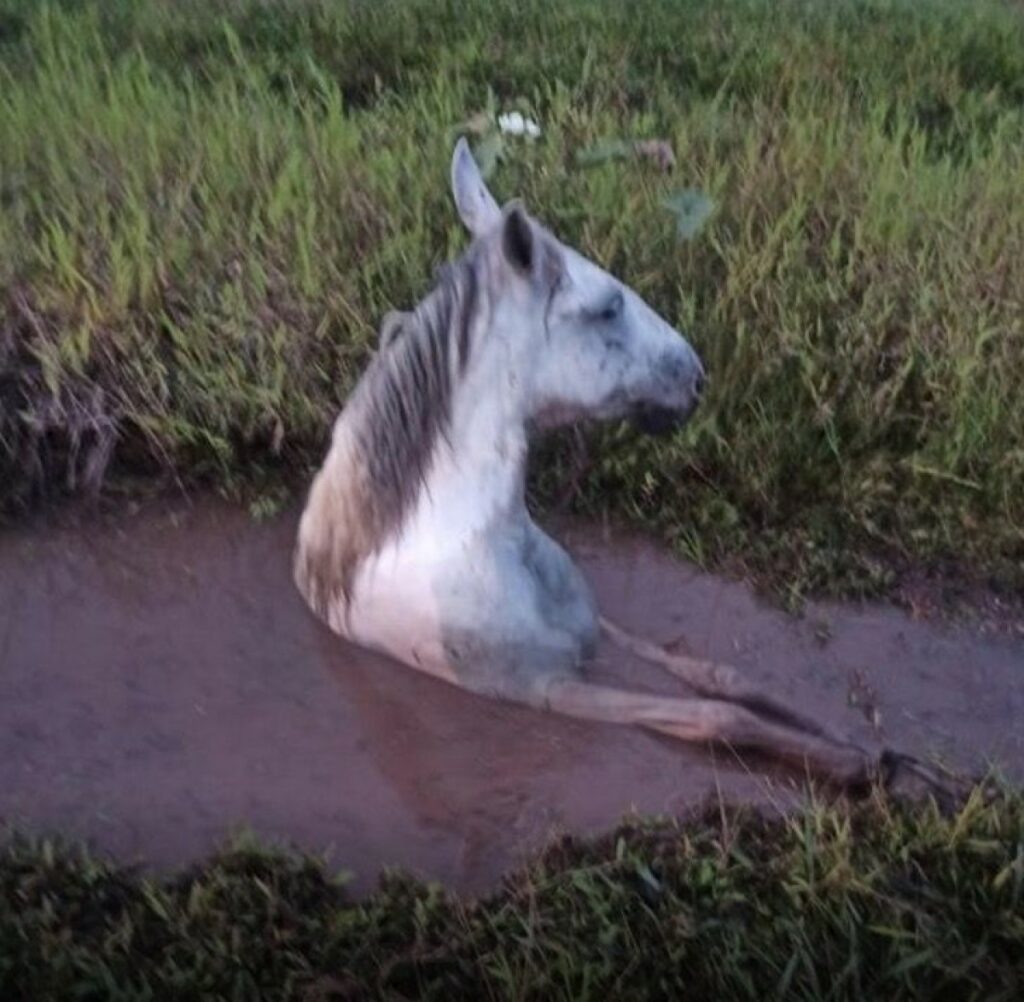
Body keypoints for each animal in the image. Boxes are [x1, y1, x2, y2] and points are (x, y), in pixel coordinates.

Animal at [294, 141, 958, 798]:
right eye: (609, 306)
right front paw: (861, 767)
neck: (478, 539)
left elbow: (722, 675)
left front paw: (893, 756)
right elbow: (717, 715)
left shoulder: (601, 630)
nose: (696, 376)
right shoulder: (547, 689)